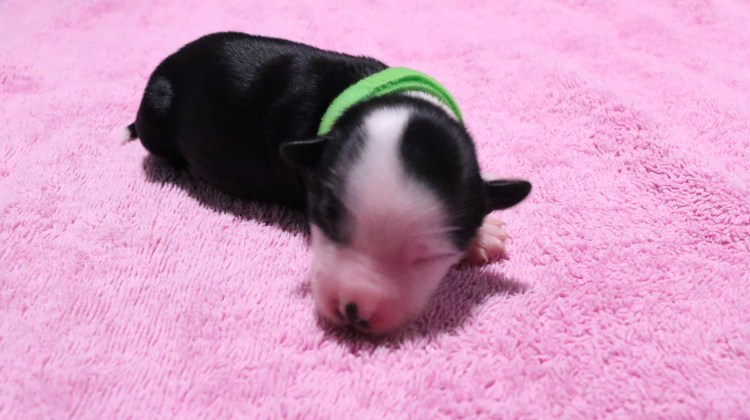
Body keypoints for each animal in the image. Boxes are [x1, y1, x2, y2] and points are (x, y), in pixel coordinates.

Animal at [124, 32, 531, 334]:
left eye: (427, 256)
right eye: (326, 222)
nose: (354, 310)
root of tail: (166, 66)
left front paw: (481, 234)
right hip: (156, 115)